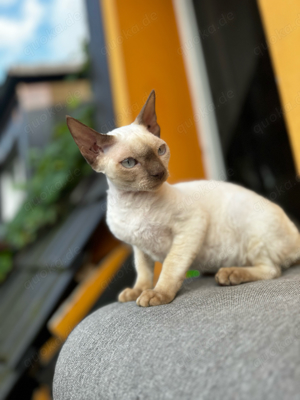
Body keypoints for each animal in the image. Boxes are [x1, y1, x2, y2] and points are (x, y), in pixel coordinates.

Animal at [66, 90, 300, 308]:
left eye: (161, 150)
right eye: (130, 163)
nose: (159, 172)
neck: (133, 204)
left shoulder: (190, 226)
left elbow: (171, 265)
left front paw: (157, 294)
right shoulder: (139, 248)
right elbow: (143, 272)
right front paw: (137, 291)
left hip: (250, 230)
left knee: (272, 269)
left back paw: (229, 274)